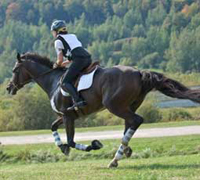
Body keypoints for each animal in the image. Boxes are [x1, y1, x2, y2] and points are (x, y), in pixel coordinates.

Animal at [7, 52, 200, 168]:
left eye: (15, 70)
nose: (9, 88)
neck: (53, 81)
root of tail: (139, 72)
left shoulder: (68, 116)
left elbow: (71, 140)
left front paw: (94, 144)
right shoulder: (67, 115)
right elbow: (53, 126)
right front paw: (62, 148)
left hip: (114, 105)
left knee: (136, 120)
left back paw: (117, 157)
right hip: (128, 105)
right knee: (130, 123)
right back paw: (122, 152)